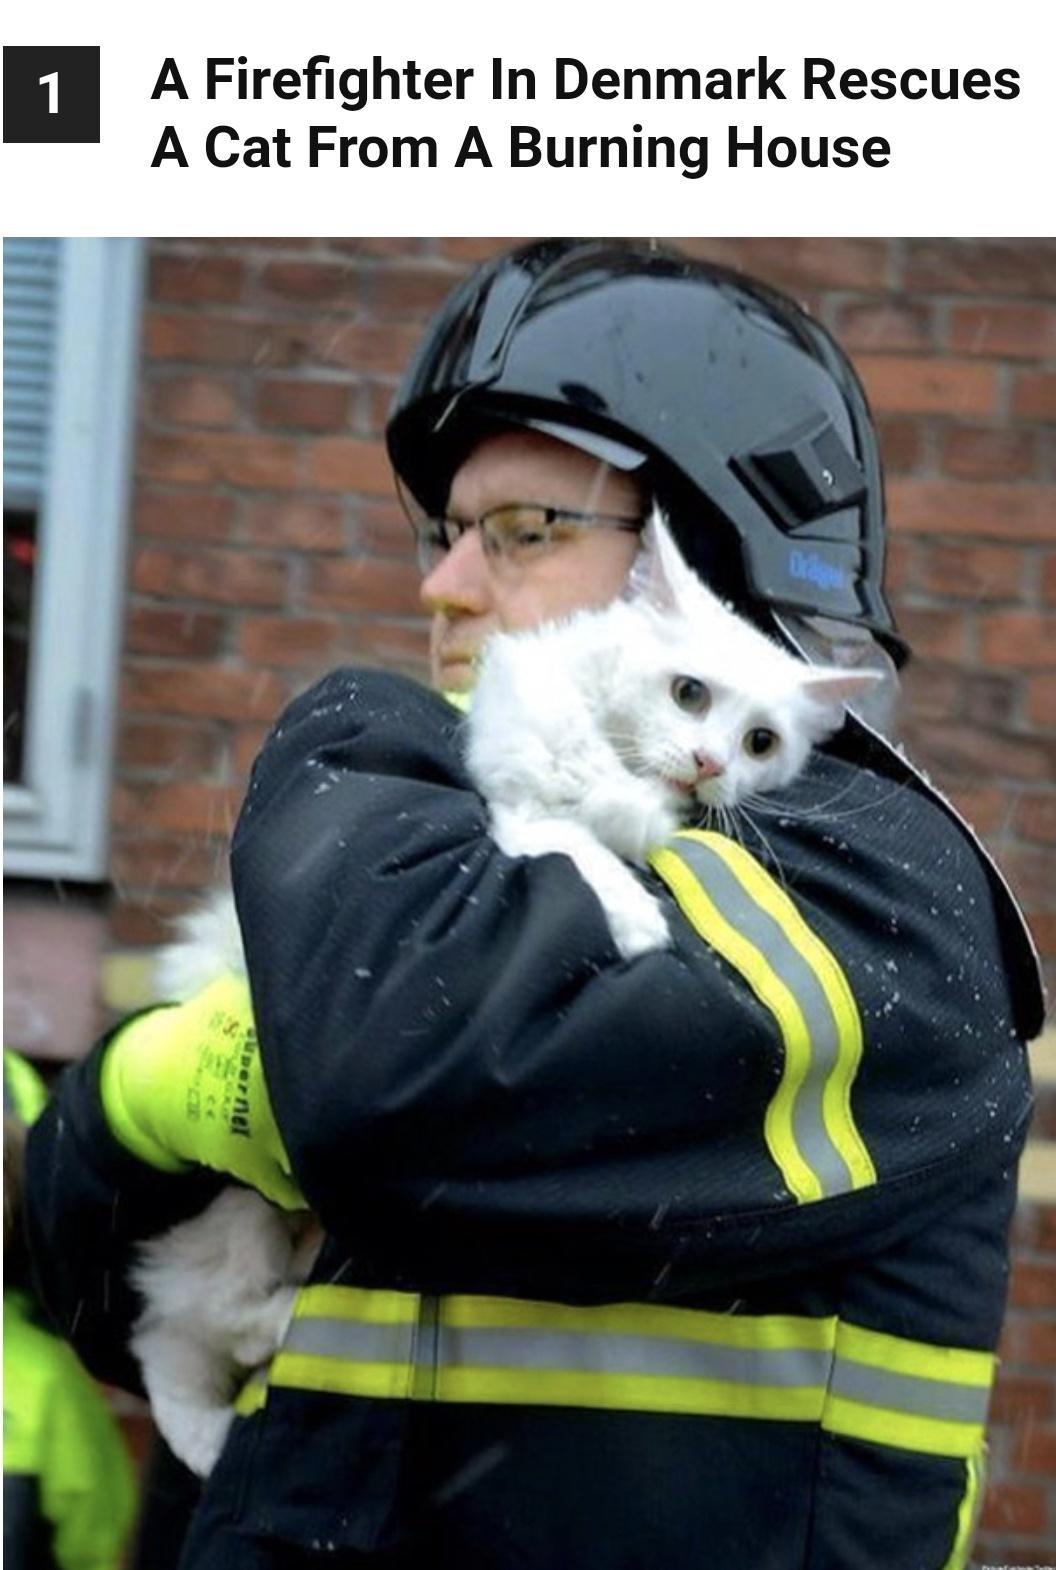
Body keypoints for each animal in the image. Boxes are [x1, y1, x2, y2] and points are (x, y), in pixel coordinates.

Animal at [131, 508, 878, 1475]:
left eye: (763, 744)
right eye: (689, 694)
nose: (710, 764)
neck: (619, 758)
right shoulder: (520, 812)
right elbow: (582, 850)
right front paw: (637, 923)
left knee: (183, 1337)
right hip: (234, 1218)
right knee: (190, 1328)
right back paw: (247, 1372)